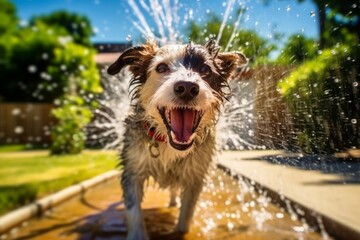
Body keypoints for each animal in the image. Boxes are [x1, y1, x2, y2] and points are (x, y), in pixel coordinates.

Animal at [107, 38, 248, 239]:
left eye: (205, 69)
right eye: (161, 67)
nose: (187, 88)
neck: (168, 144)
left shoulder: (195, 176)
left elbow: (186, 215)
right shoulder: (132, 170)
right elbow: (133, 211)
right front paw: (137, 234)